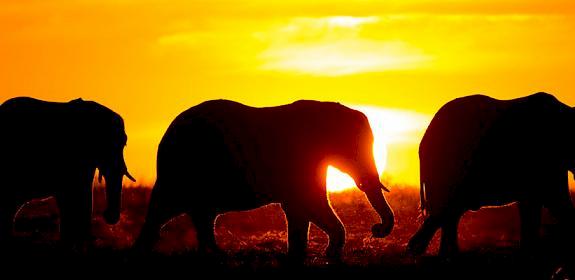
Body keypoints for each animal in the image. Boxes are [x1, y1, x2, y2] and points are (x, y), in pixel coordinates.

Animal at [135, 99, 396, 262]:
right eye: (356, 148)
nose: (376, 229)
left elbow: (303, 208)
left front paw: (308, 256)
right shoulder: (300, 157)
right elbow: (308, 203)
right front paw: (326, 254)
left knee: (200, 216)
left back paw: (214, 256)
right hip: (180, 171)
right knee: (165, 211)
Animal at [408, 93, 572, 258]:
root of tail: (423, 143)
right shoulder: (544, 161)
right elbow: (554, 200)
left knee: (449, 213)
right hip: (448, 168)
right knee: (446, 211)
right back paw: (425, 251)